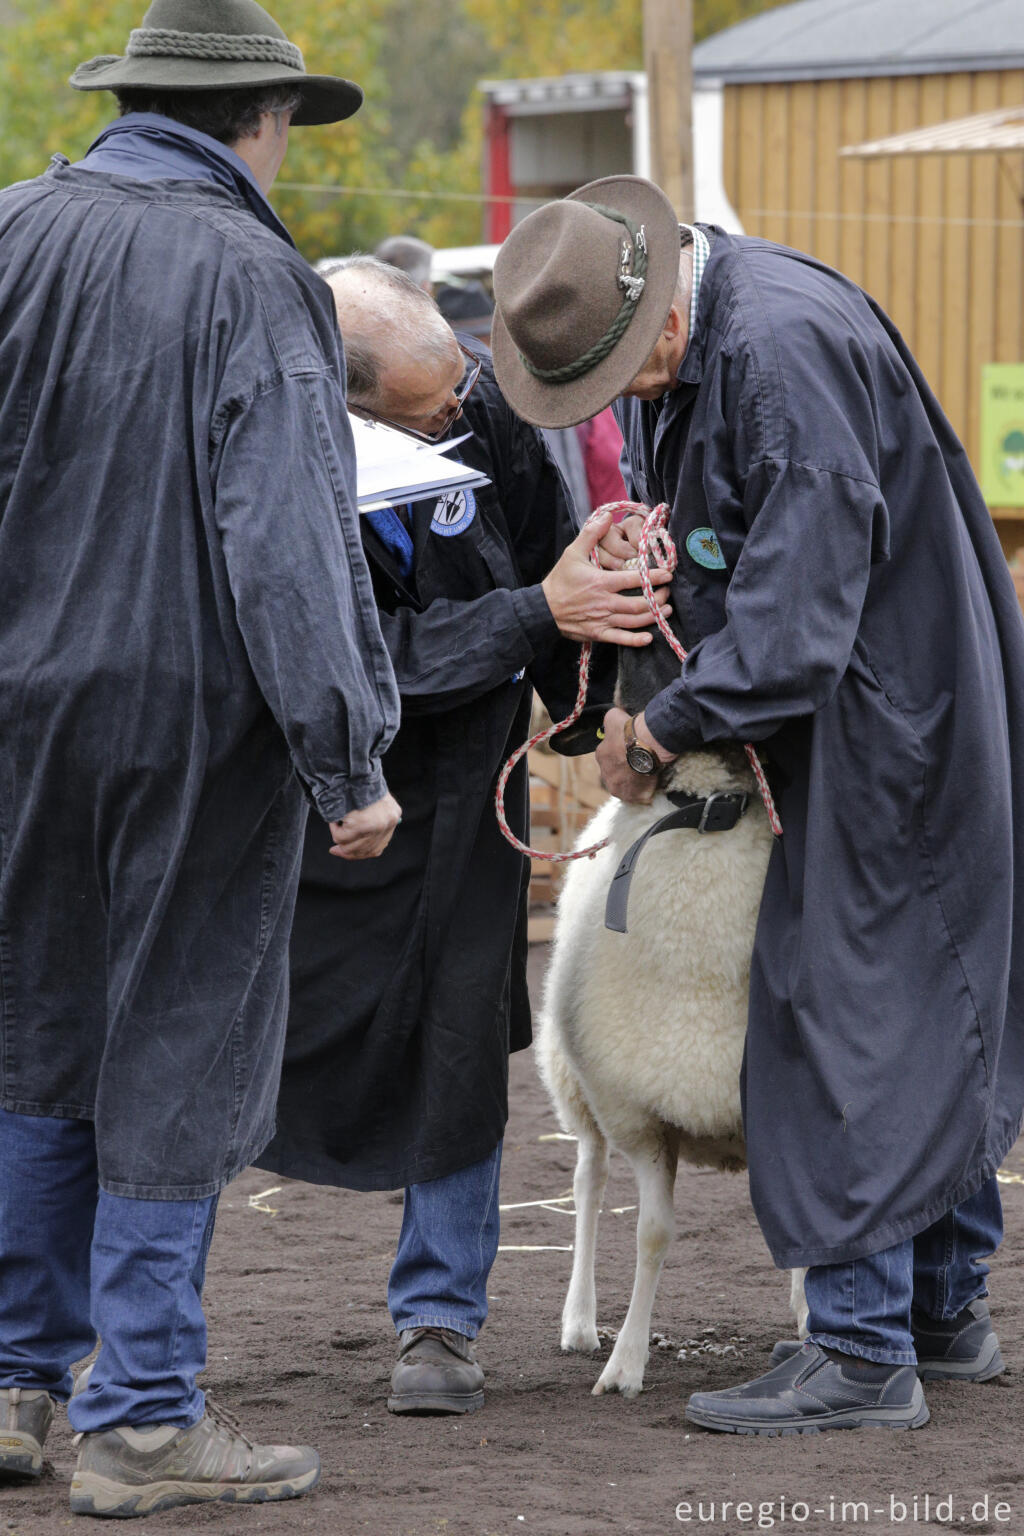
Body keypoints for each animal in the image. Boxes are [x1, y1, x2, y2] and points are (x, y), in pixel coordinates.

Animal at [537, 737, 810, 1400]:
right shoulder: (640, 1117)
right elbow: (652, 1236)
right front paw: (626, 1364)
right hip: (577, 1086)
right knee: (588, 1181)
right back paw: (580, 1320)